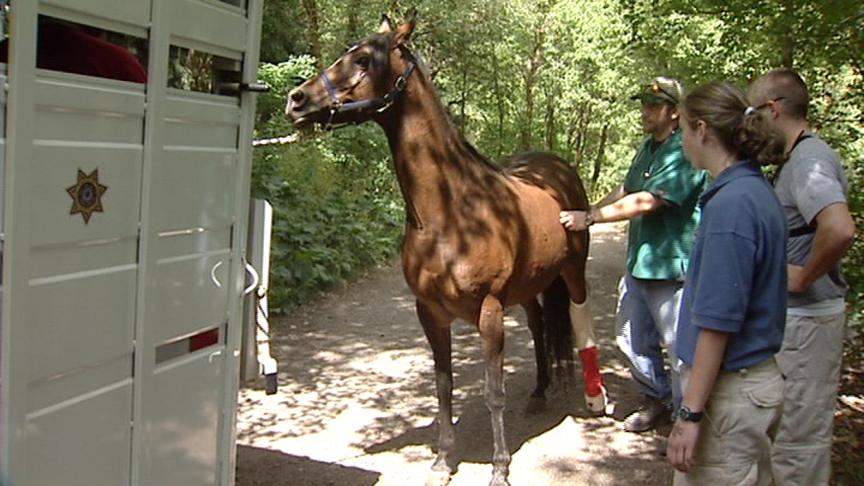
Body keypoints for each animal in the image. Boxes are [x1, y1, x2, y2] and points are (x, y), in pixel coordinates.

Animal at [286, 13, 608, 484]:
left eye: (363, 59)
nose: (296, 101)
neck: (451, 211)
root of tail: (559, 169)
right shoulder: (431, 314)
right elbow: (443, 387)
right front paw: (441, 461)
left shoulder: (489, 313)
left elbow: (493, 392)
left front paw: (499, 468)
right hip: (528, 287)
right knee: (538, 327)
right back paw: (539, 391)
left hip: (573, 272)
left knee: (580, 321)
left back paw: (595, 398)